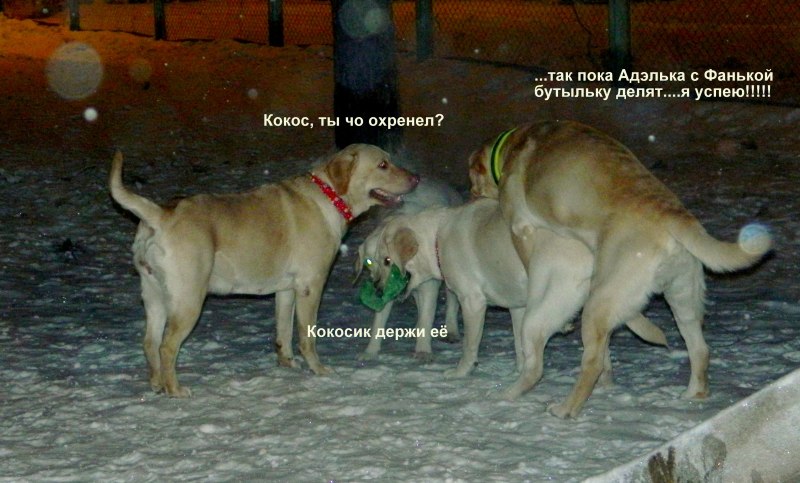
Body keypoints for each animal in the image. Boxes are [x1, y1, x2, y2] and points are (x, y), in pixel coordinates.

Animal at [110, 145, 419, 397]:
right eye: (383, 165)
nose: (416, 179)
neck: (330, 194)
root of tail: (161, 214)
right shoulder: (311, 286)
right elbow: (307, 336)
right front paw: (318, 370)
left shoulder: (286, 290)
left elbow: (283, 332)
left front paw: (287, 364)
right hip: (188, 300)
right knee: (166, 347)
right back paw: (174, 389)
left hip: (154, 297)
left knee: (149, 342)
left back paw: (157, 384)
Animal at [356, 177, 463, 361]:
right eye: (369, 262)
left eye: (388, 260)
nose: (377, 290)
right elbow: (378, 323)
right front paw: (370, 352)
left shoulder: (429, 288)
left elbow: (427, 318)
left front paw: (423, 351)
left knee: (451, 303)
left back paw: (451, 331)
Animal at [366, 197, 667, 379]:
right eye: (375, 262)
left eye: (387, 260)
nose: (377, 291)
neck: (437, 237)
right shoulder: (518, 307)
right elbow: (520, 346)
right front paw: (521, 369)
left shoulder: (472, 302)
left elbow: (470, 345)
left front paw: (461, 372)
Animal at [469, 120, 772, 418]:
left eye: (472, 178)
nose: (470, 194)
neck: (510, 145)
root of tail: (670, 213)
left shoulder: (519, 226)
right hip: (681, 300)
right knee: (700, 349)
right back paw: (693, 395)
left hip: (599, 302)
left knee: (590, 362)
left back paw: (565, 410)